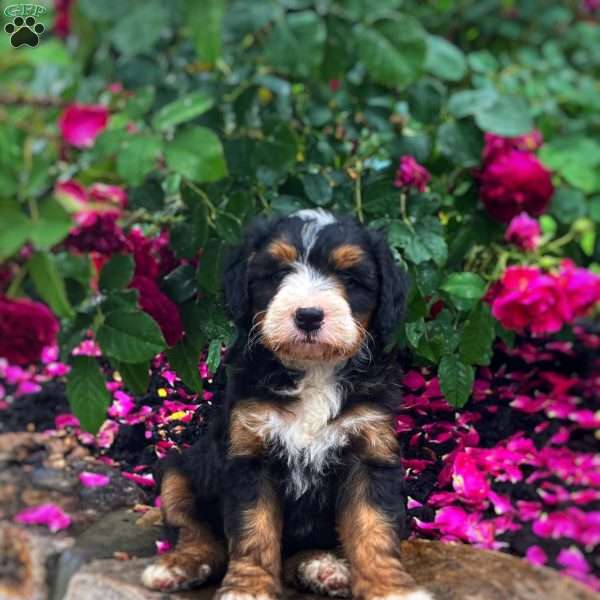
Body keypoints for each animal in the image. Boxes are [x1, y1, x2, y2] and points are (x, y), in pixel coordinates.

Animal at [141, 210, 432, 600]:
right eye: (278, 274)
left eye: (349, 278)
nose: (308, 315)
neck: (313, 370)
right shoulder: (250, 455)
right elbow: (254, 531)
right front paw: (248, 588)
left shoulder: (369, 452)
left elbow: (374, 529)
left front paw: (390, 588)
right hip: (176, 470)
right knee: (195, 531)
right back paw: (179, 565)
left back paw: (322, 567)